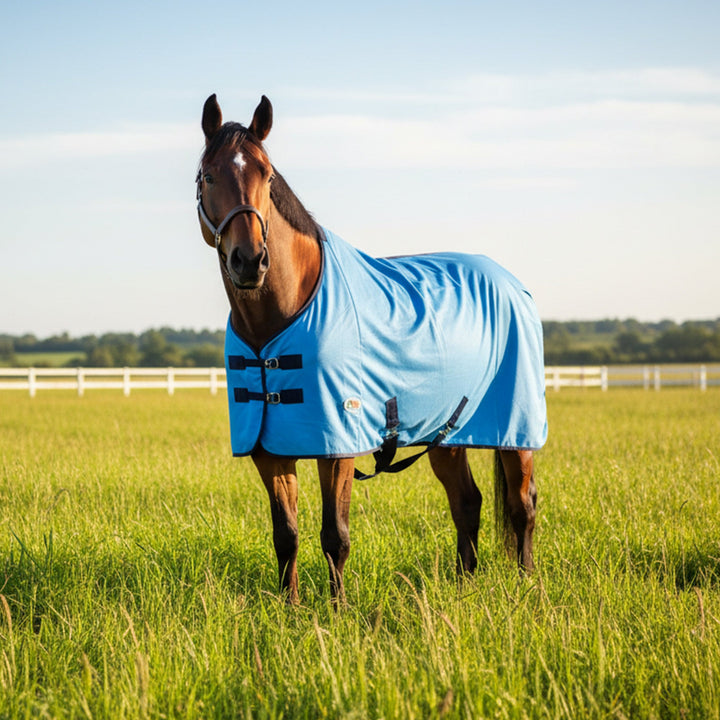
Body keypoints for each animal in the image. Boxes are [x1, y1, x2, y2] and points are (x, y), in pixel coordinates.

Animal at [196, 94, 547, 604]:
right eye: (208, 175)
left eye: (267, 175)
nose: (250, 260)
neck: (281, 316)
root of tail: (513, 284)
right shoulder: (269, 448)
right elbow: (286, 535)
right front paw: (290, 609)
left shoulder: (337, 448)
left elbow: (335, 535)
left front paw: (336, 611)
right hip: (447, 435)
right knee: (467, 502)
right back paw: (464, 583)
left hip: (515, 433)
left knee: (522, 505)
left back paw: (524, 585)